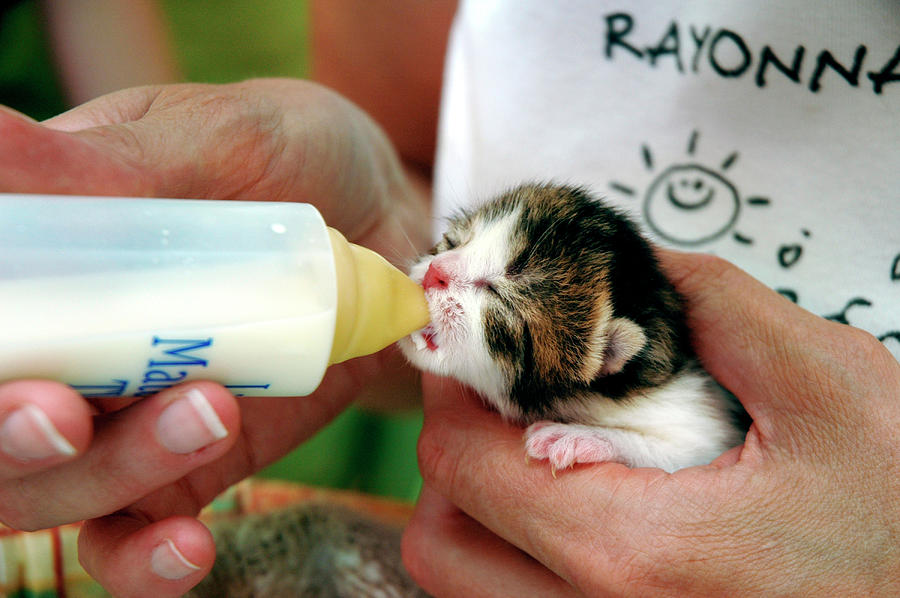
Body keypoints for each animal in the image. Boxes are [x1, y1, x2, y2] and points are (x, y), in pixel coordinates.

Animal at [400, 183, 744, 474]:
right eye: (454, 240)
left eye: (499, 295)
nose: (435, 272)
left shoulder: (700, 420)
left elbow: (682, 452)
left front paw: (583, 437)